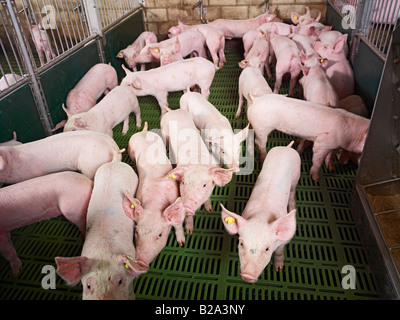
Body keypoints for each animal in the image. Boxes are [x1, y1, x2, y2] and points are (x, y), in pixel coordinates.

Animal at [125, 121, 186, 264]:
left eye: (160, 234)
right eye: (136, 232)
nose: (141, 261)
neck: (155, 203)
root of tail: (143, 132)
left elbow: (178, 225)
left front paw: (182, 243)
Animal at [222, 142, 300, 282]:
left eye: (267, 248)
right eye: (241, 243)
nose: (247, 275)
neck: (261, 217)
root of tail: (286, 148)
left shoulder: (281, 243)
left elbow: (279, 252)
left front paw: (278, 269)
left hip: (296, 175)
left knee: (292, 192)